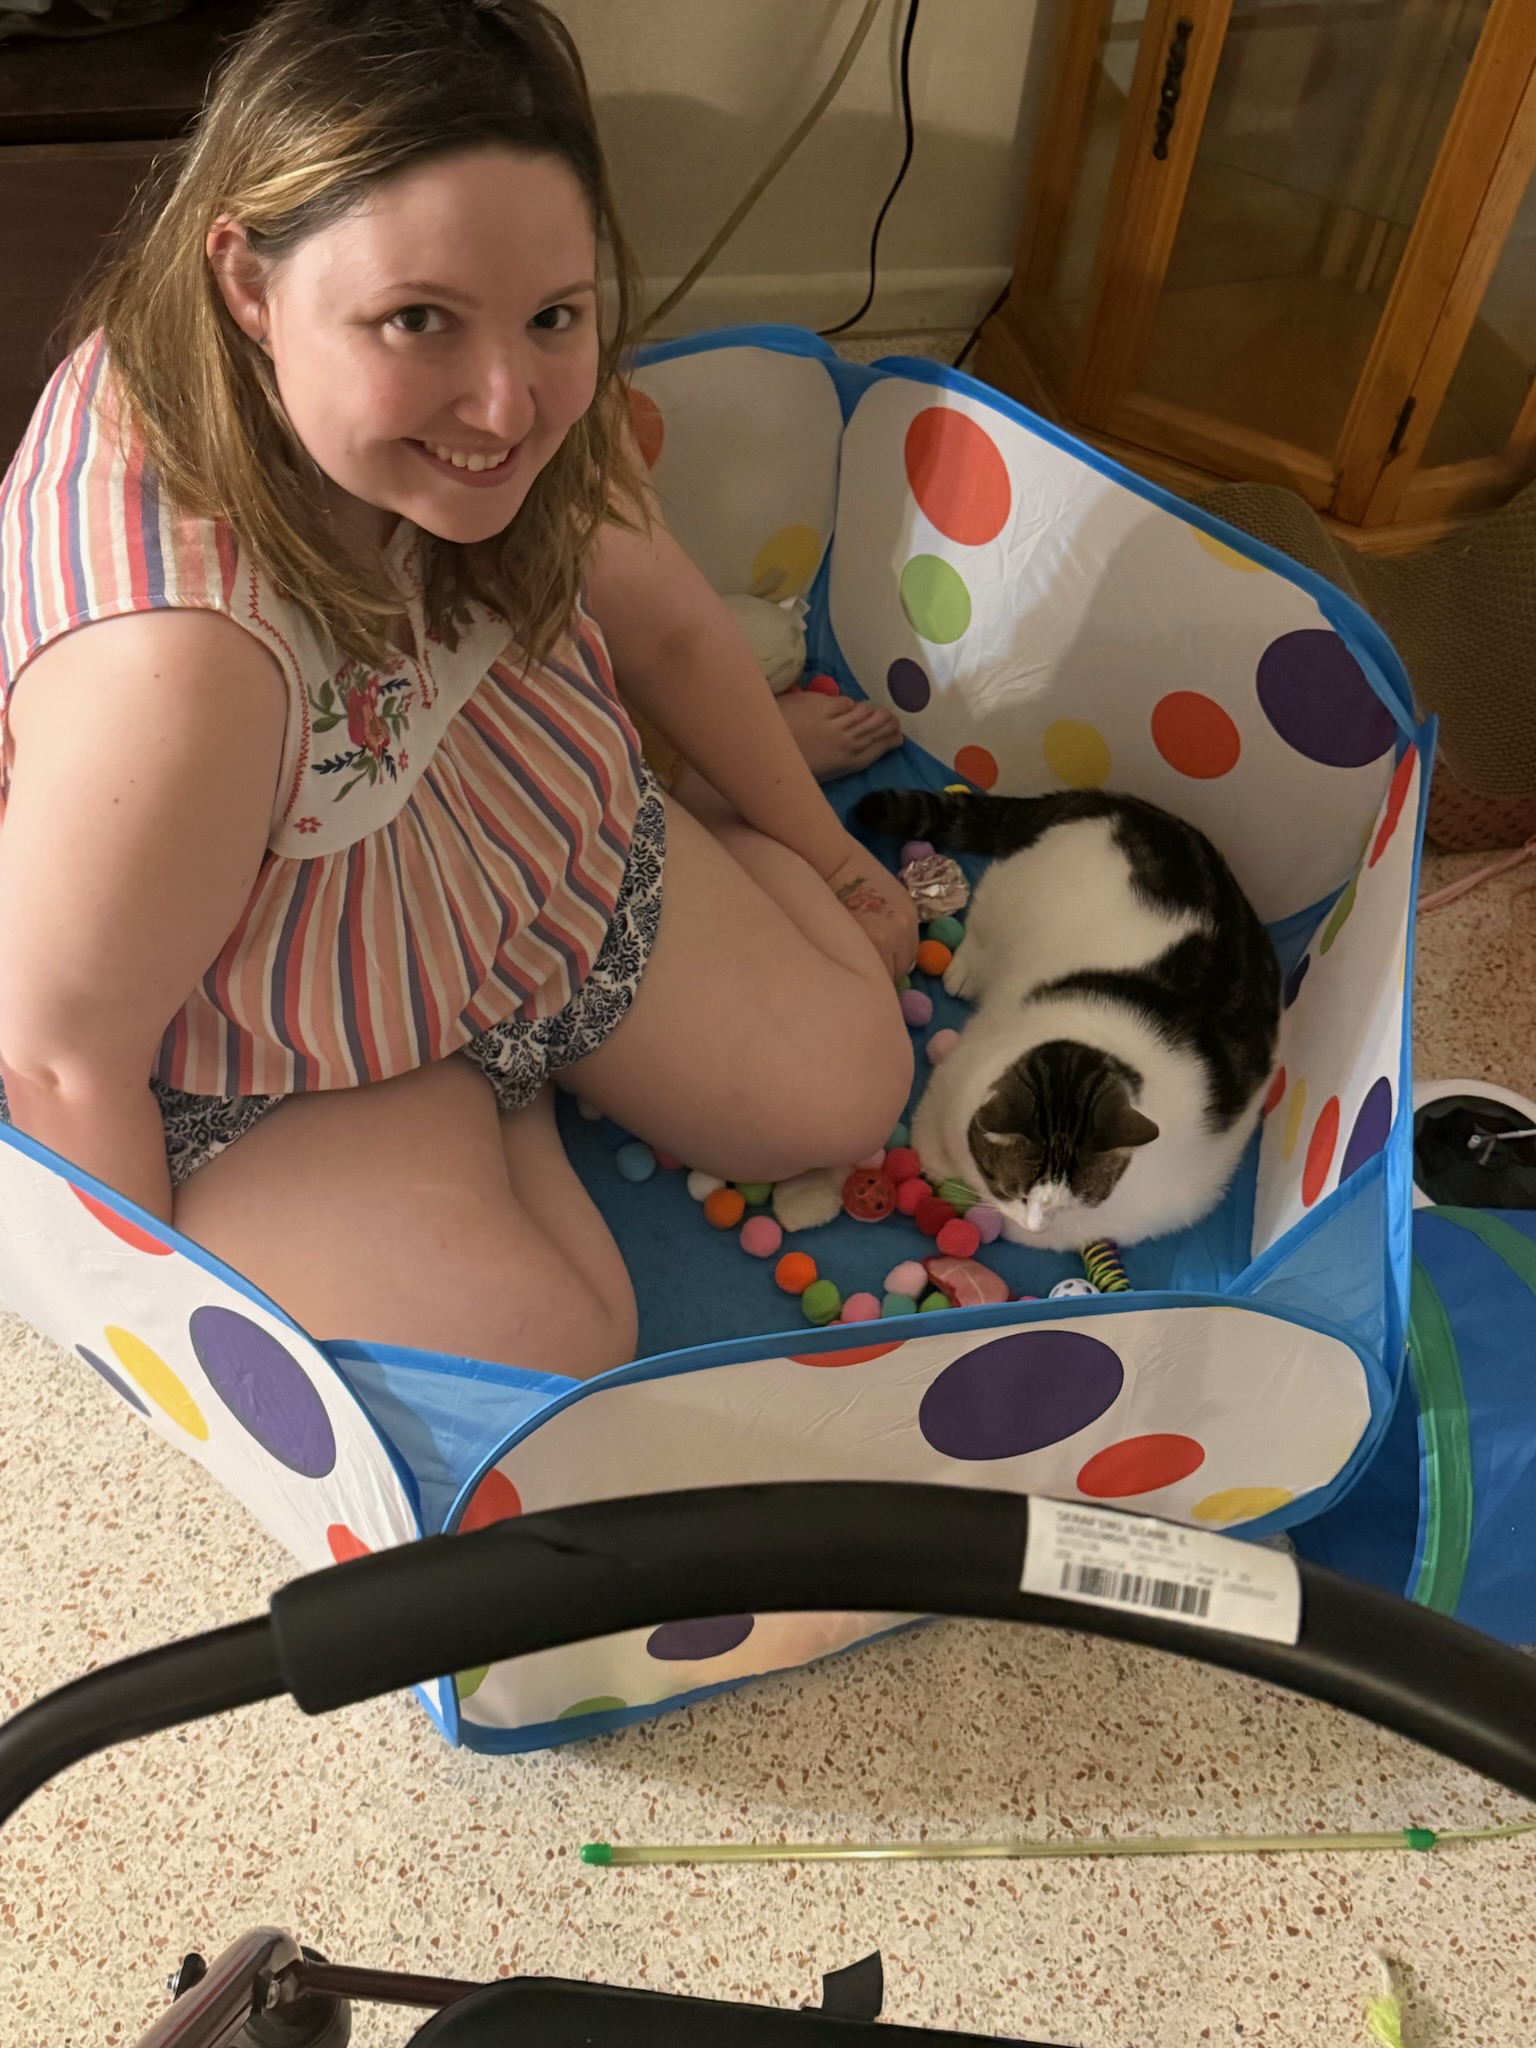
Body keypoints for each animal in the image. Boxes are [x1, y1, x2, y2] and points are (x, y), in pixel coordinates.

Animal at [856, 786, 1281, 1251]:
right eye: (1019, 1192)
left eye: (1077, 1200)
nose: (1036, 1223)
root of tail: (1124, 804)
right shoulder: (956, 1075)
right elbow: (931, 1135)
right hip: (1013, 893)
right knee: (985, 916)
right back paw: (968, 968)